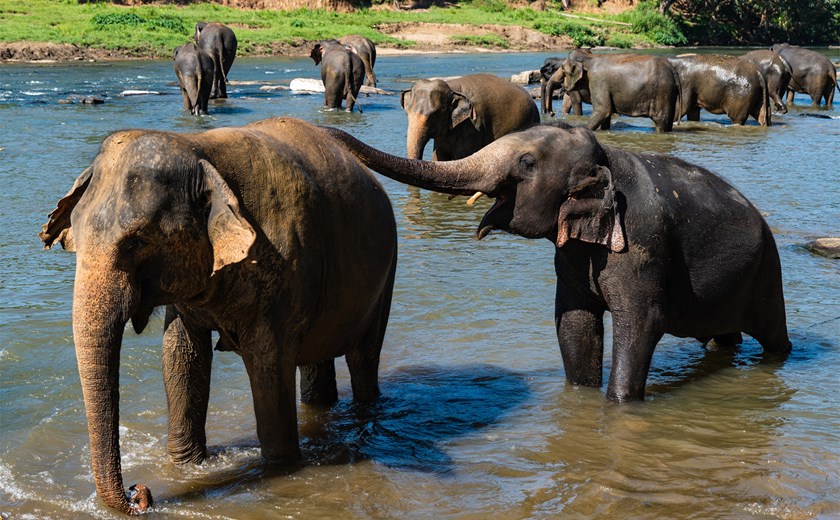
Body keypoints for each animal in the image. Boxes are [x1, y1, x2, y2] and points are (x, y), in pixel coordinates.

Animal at [39, 117, 398, 515]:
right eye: (77, 236)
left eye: (137, 242)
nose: (140, 492)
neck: (199, 150)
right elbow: (181, 356)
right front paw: (185, 467)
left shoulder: (287, 266)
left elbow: (269, 365)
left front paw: (281, 470)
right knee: (316, 361)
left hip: (386, 271)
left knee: (363, 357)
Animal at [322, 123, 792, 404]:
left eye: (527, 163)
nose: (325, 130)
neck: (606, 156)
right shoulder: (572, 255)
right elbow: (575, 322)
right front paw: (579, 398)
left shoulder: (643, 243)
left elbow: (641, 322)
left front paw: (619, 405)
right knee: (725, 337)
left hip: (767, 273)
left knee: (773, 336)